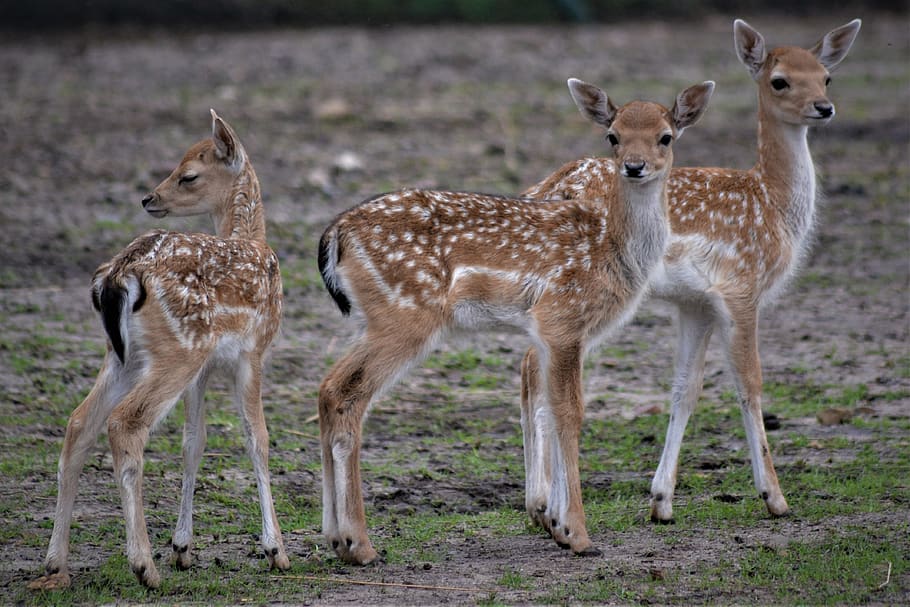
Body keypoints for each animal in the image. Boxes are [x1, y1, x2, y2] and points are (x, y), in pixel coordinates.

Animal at [28, 111, 290, 592]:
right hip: (175, 351)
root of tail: (118, 274)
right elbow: (256, 437)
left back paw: (56, 564)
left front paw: (183, 548)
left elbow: (195, 441)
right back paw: (143, 565)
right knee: (124, 424)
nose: (149, 197)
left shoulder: (205, 368)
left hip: (126, 356)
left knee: (79, 423)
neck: (254, 240)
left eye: (188, 175)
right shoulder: (254, 350)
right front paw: (275, 550)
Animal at [318, 81, 716, 564]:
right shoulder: (562, 318)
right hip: (405, 314)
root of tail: (336, 233)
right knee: (348, 395)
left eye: (666, 137)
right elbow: (569, 412)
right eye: (613, 136)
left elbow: (547, 405)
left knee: (328, 388)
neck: (613, 249)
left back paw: (334, 537)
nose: (634, 167)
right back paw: (359, 543)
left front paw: (559, 525)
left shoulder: (551, 332)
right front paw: (579, 534)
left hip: (379, 319)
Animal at [520, 16, 864, 524]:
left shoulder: (695, 303)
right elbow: (751, 381)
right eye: (779, 81)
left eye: (827, 76)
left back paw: (539, 503)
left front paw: (661, 501)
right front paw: (775, 497)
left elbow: (686, 388)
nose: (823, 107)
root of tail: (549, 187)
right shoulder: (740, 285)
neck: (773, 204)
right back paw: (542, 503)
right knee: (533, 367)